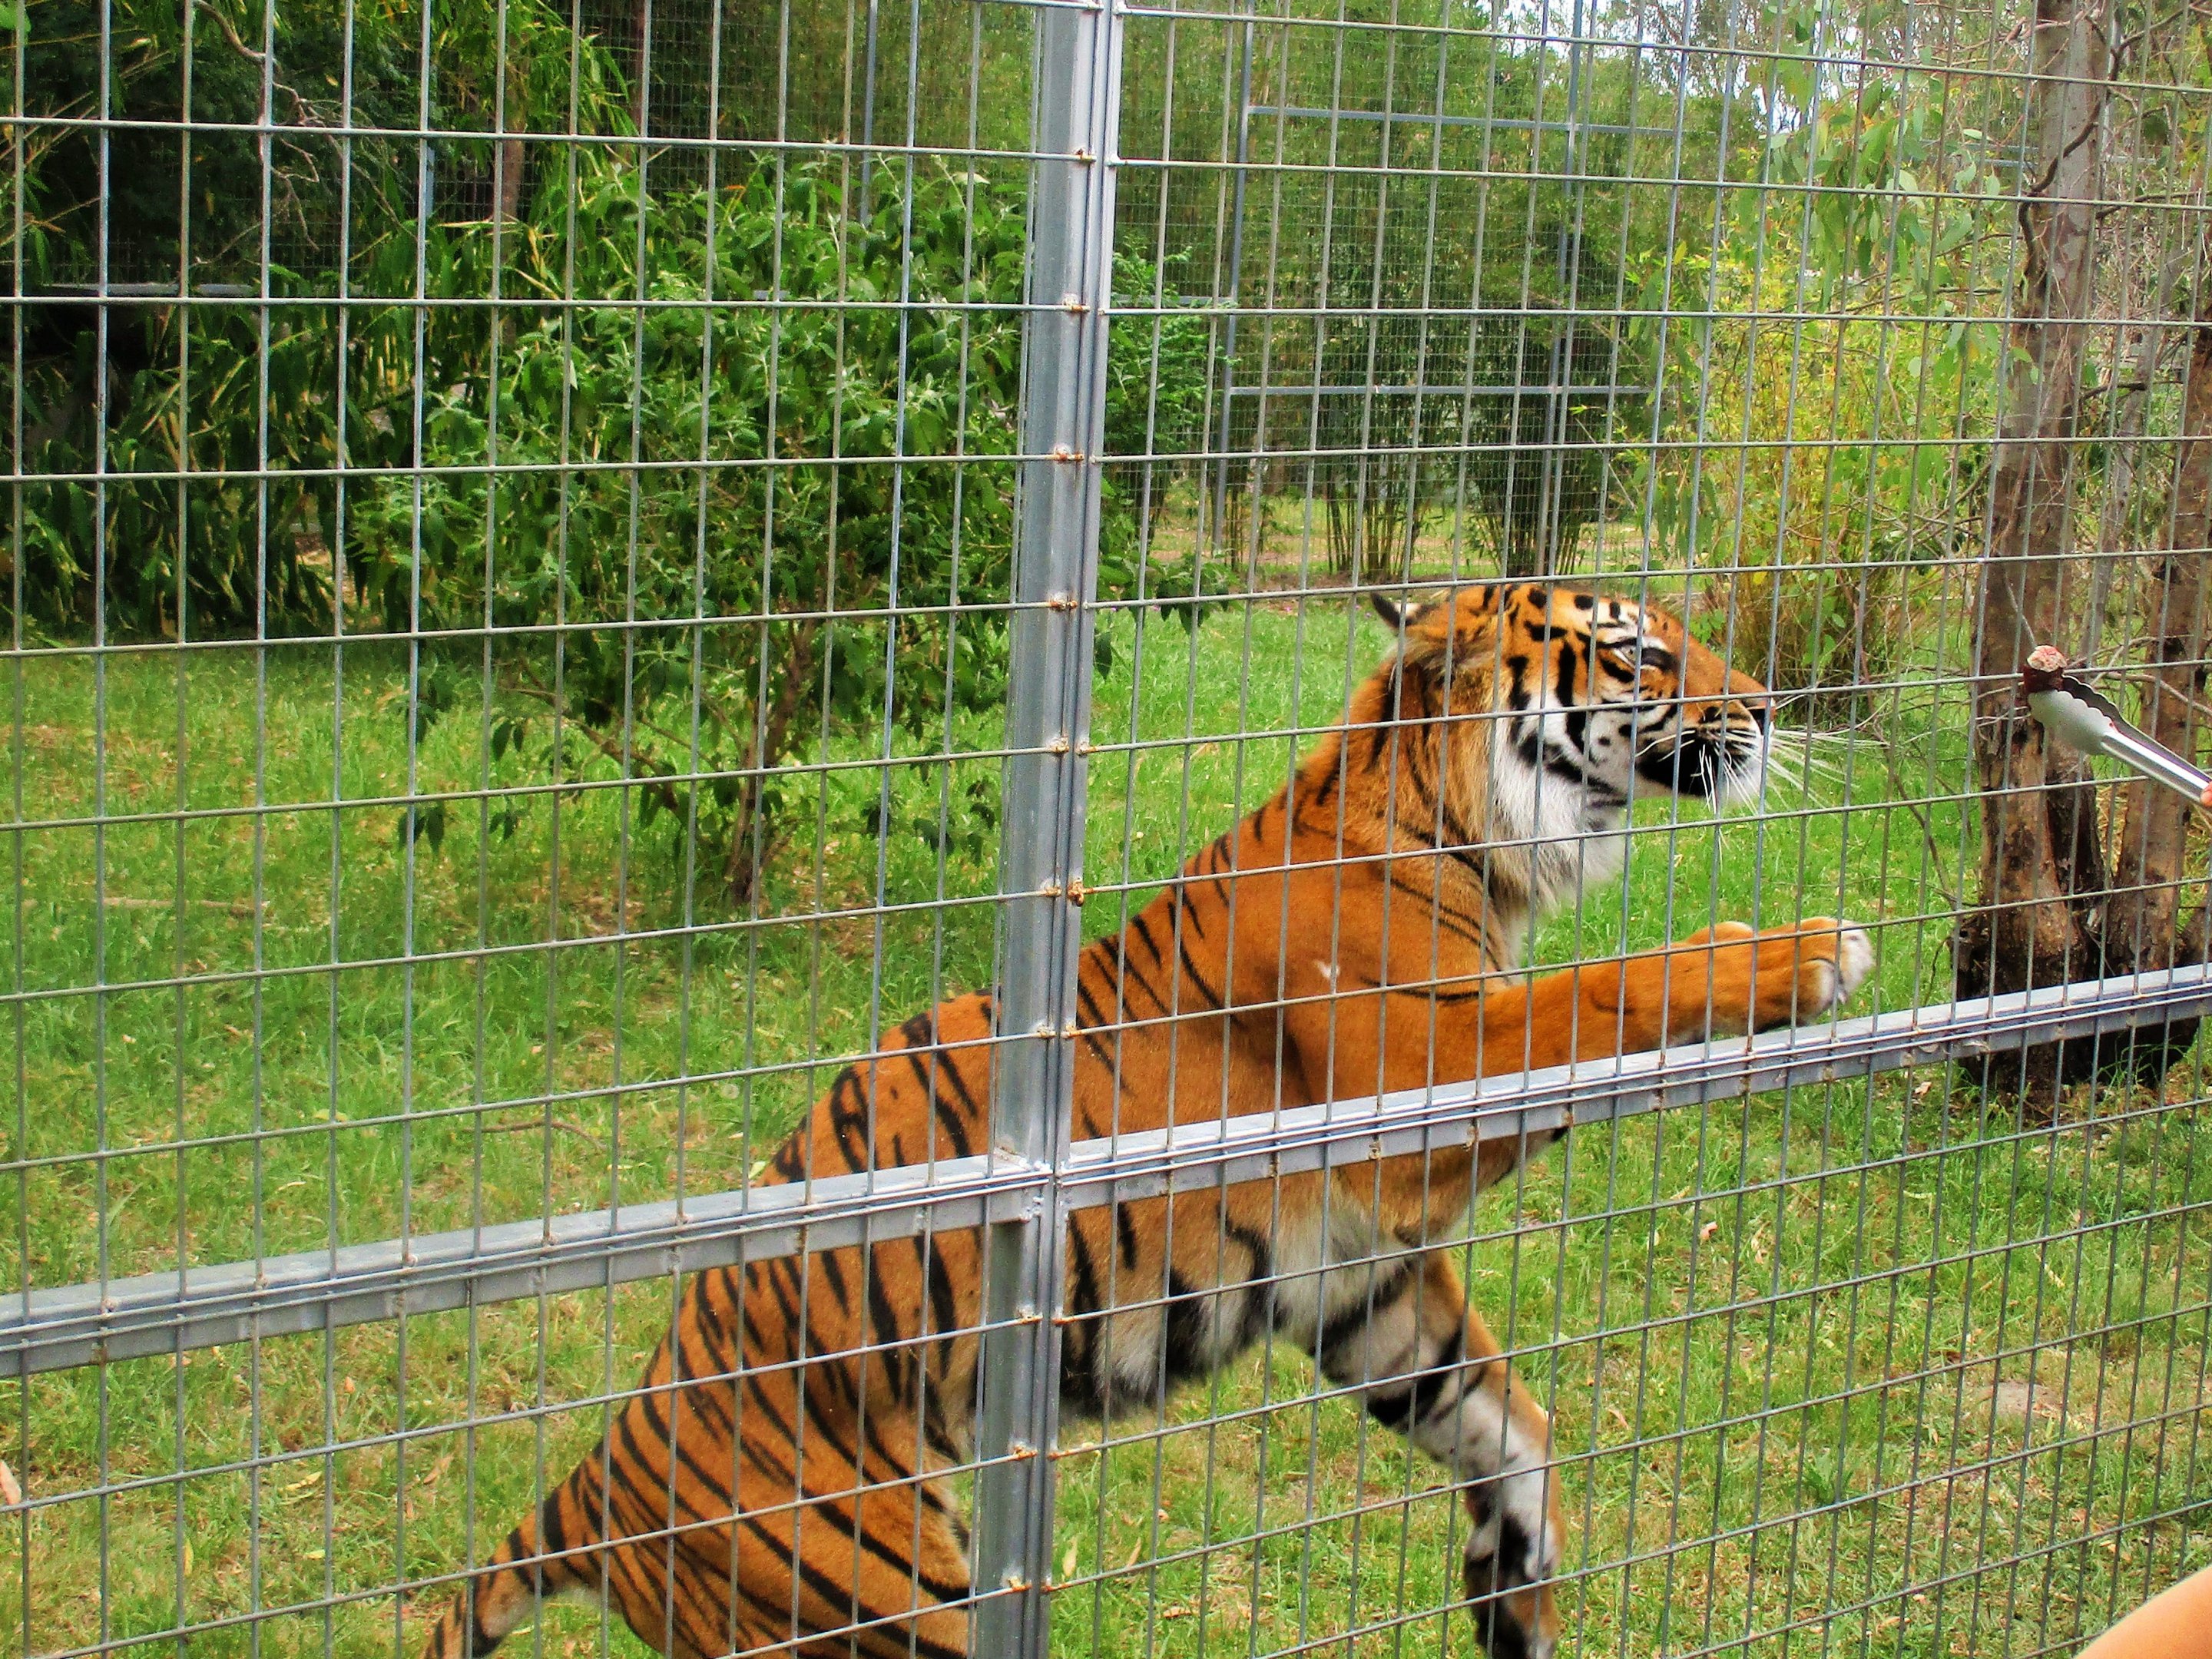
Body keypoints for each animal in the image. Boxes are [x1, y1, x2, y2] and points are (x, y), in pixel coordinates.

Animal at [419, 583, 1873, 1659]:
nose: (1770, 707)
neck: (1470, 834)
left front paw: (1517, 1583)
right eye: (1643, 648)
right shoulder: (1435, 1068)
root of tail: (605, 1474)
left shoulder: (1361, 1283)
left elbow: (1503, 1420)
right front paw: (1807, 952)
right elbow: (1613, 987)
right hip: (876, 1604)